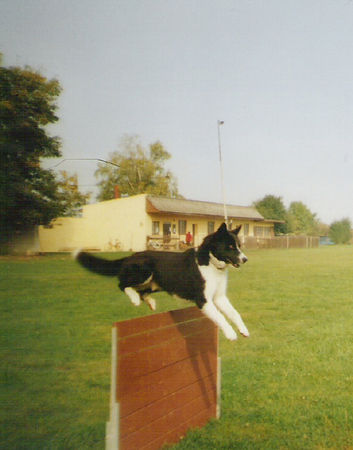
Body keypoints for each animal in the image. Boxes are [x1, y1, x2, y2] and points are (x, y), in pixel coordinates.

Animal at [75, 223, 249, 340]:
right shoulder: (203, 300)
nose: (245, 259)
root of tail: (131, 256)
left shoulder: (219, 297)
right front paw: (231, 334)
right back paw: (134, 299)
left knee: (142, 292)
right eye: (230, 246)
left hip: (154, 283)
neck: (211, 263)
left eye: (239, 245)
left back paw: (150, 302)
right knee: (122, 284)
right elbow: (220, 317)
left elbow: (234, 313)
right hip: (144, 271)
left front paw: (243, 330)